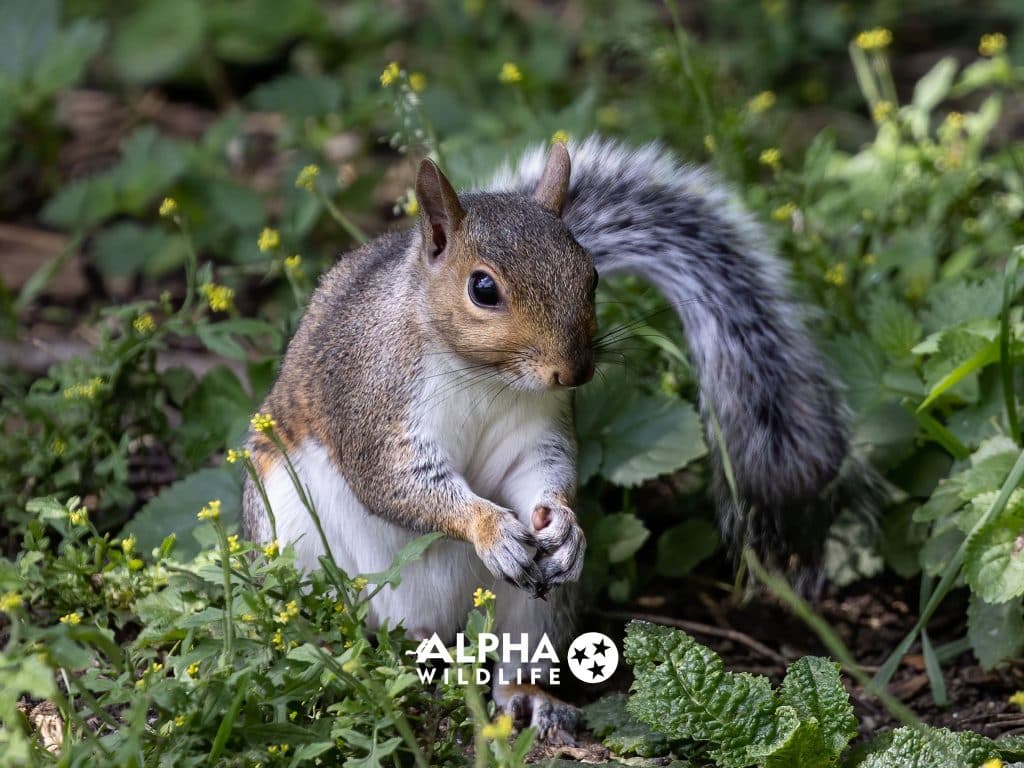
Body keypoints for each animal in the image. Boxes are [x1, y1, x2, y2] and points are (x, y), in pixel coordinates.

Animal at [241, 137, 856, 745]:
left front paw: (564, 525)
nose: (575, 371)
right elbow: (397, 484)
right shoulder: (374, 407)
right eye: (482, 288)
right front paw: (491, 529)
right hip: (293, 538)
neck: (482, 375)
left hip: (540, 606)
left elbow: (542, 472)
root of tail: (435, 627)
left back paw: (532, 698)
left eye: (592, 276)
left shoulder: (539, 428)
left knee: (517, 657)